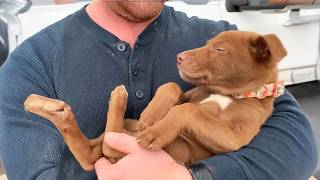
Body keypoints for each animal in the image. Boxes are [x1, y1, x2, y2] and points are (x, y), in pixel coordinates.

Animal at [23, 30, 288, 170]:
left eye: (220, 50)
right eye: (207, 44)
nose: (179, 57)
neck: (227, 94)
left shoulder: (234, 137)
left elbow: (189, 111)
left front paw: (155, 131)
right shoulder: (189, 93)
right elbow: (172, 86)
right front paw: (152, 114)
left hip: (178, 148)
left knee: (103, 147)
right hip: (131, 128)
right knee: (92, 151)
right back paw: (43, 104)